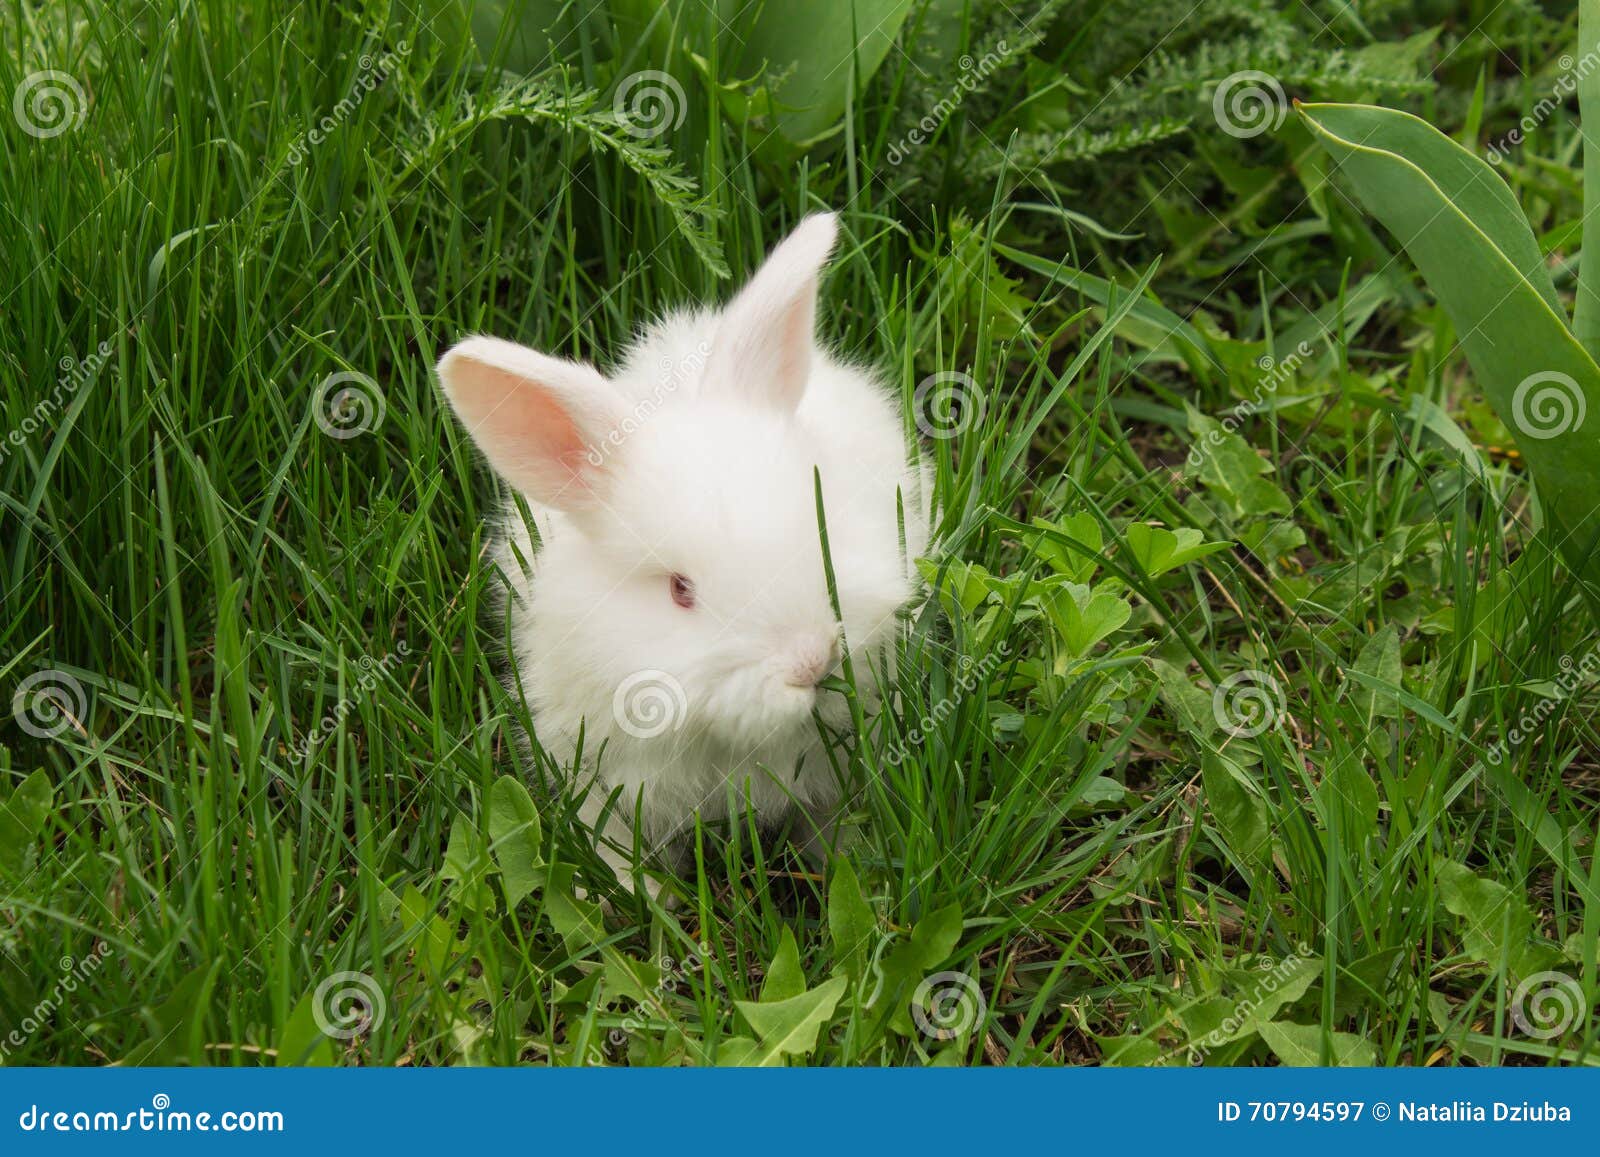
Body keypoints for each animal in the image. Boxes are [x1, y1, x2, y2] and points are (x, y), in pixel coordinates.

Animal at [437, 212, 930, 899]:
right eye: (679, 590)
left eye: (819, 523)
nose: (810, 659)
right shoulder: (604, 777)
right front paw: (631, 898)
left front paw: (853, 869)